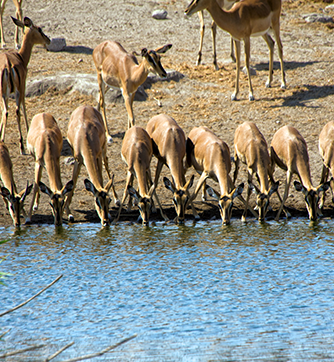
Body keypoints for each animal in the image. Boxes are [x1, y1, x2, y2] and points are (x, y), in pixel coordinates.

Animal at [0, 16, 50, 154]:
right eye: (39, 29)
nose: (48, 40)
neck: (20, 56)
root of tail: (8, 64)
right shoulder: (23, 87)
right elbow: (24, 107)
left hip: (5, 93)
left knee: (7, 111)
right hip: (14, 92)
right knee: (14, 110)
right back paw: (21, 146)